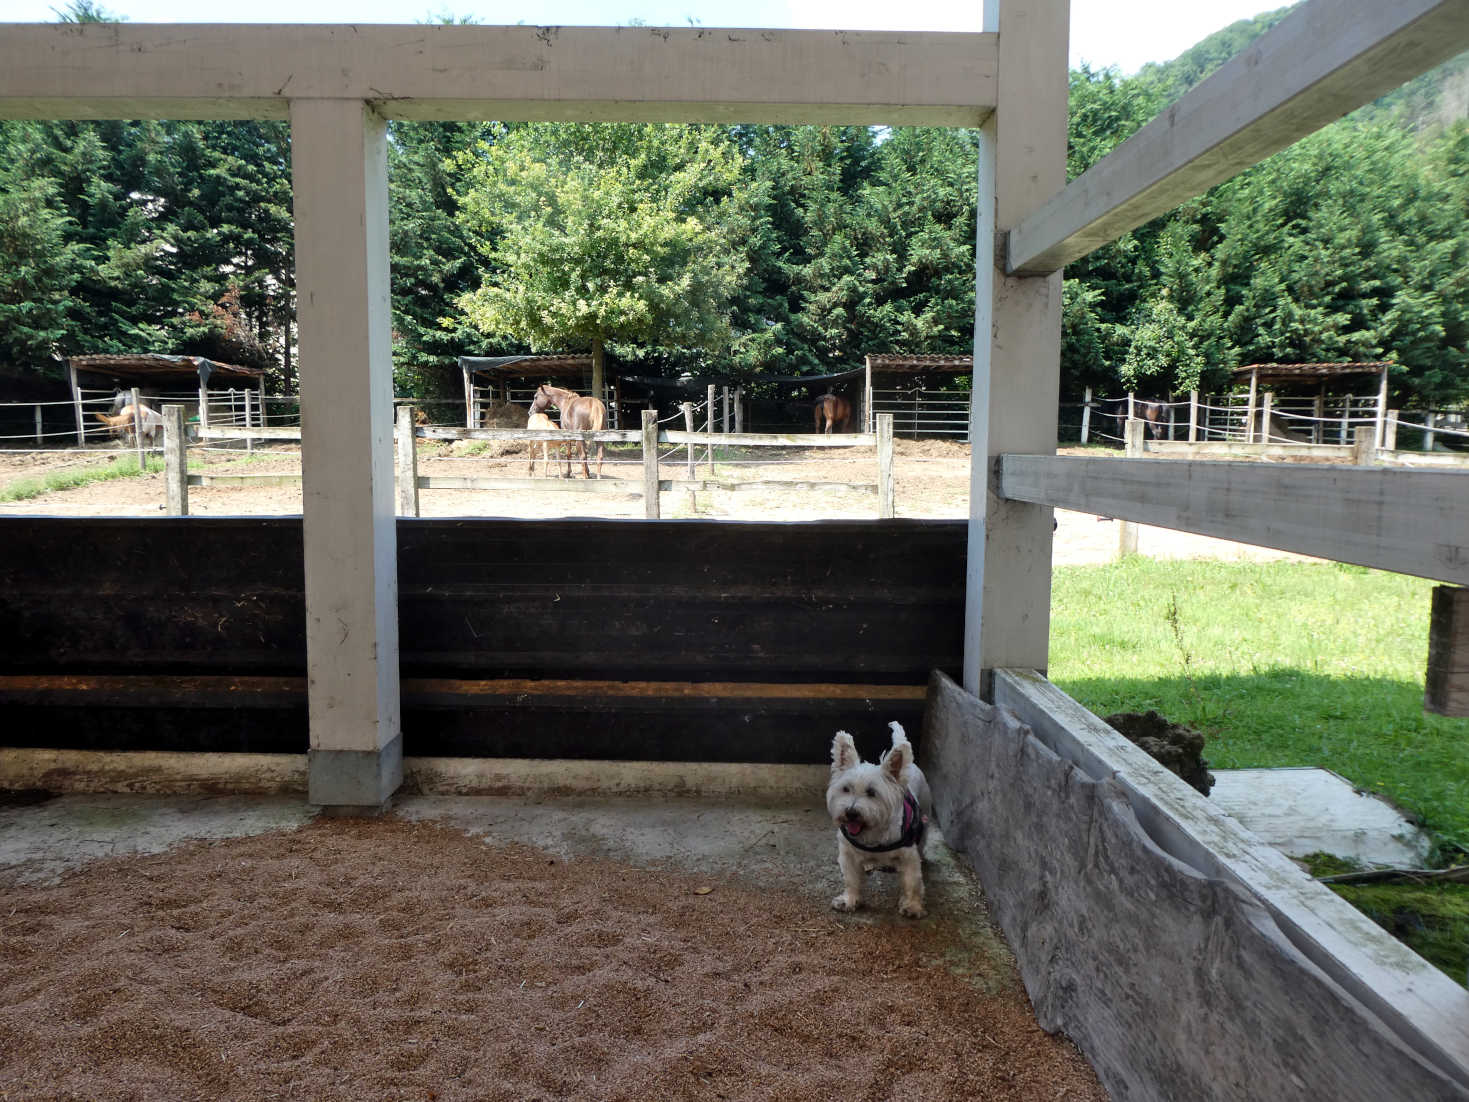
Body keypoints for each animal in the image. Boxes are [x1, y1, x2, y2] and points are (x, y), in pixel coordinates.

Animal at [828, 719, 928, 916]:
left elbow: (912, 881)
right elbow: (851, 879)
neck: (872, 835)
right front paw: (849, 900)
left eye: (872, 792)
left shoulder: (909, 856)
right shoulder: (848, 854)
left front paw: (912, 906)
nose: (851, 813)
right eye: (846, 789)